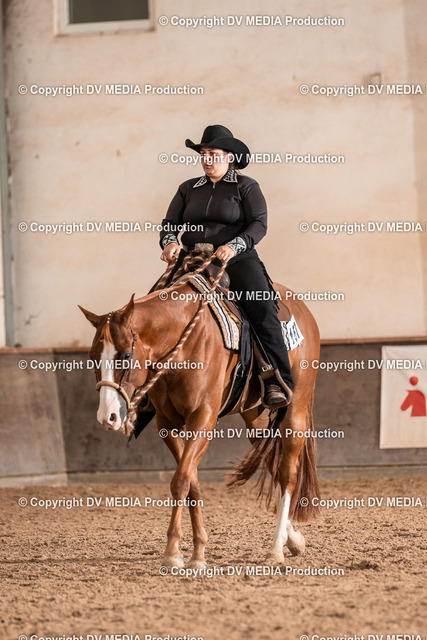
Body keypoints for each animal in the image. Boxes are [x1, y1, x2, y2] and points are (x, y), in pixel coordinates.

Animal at [79, 252, 320, 569]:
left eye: (126, 355)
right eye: (92, 357)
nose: (107, 417)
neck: (183, 343)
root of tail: (302, 308)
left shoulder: (202, 419)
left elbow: (181, 480)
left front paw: (173, 553)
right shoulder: (168, 425)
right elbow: (190, 482)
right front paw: (196, 551)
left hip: (295, 410)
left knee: (287, 473)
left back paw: (275, 548)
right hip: (254, 416)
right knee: (273, 463)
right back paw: (293, 539)